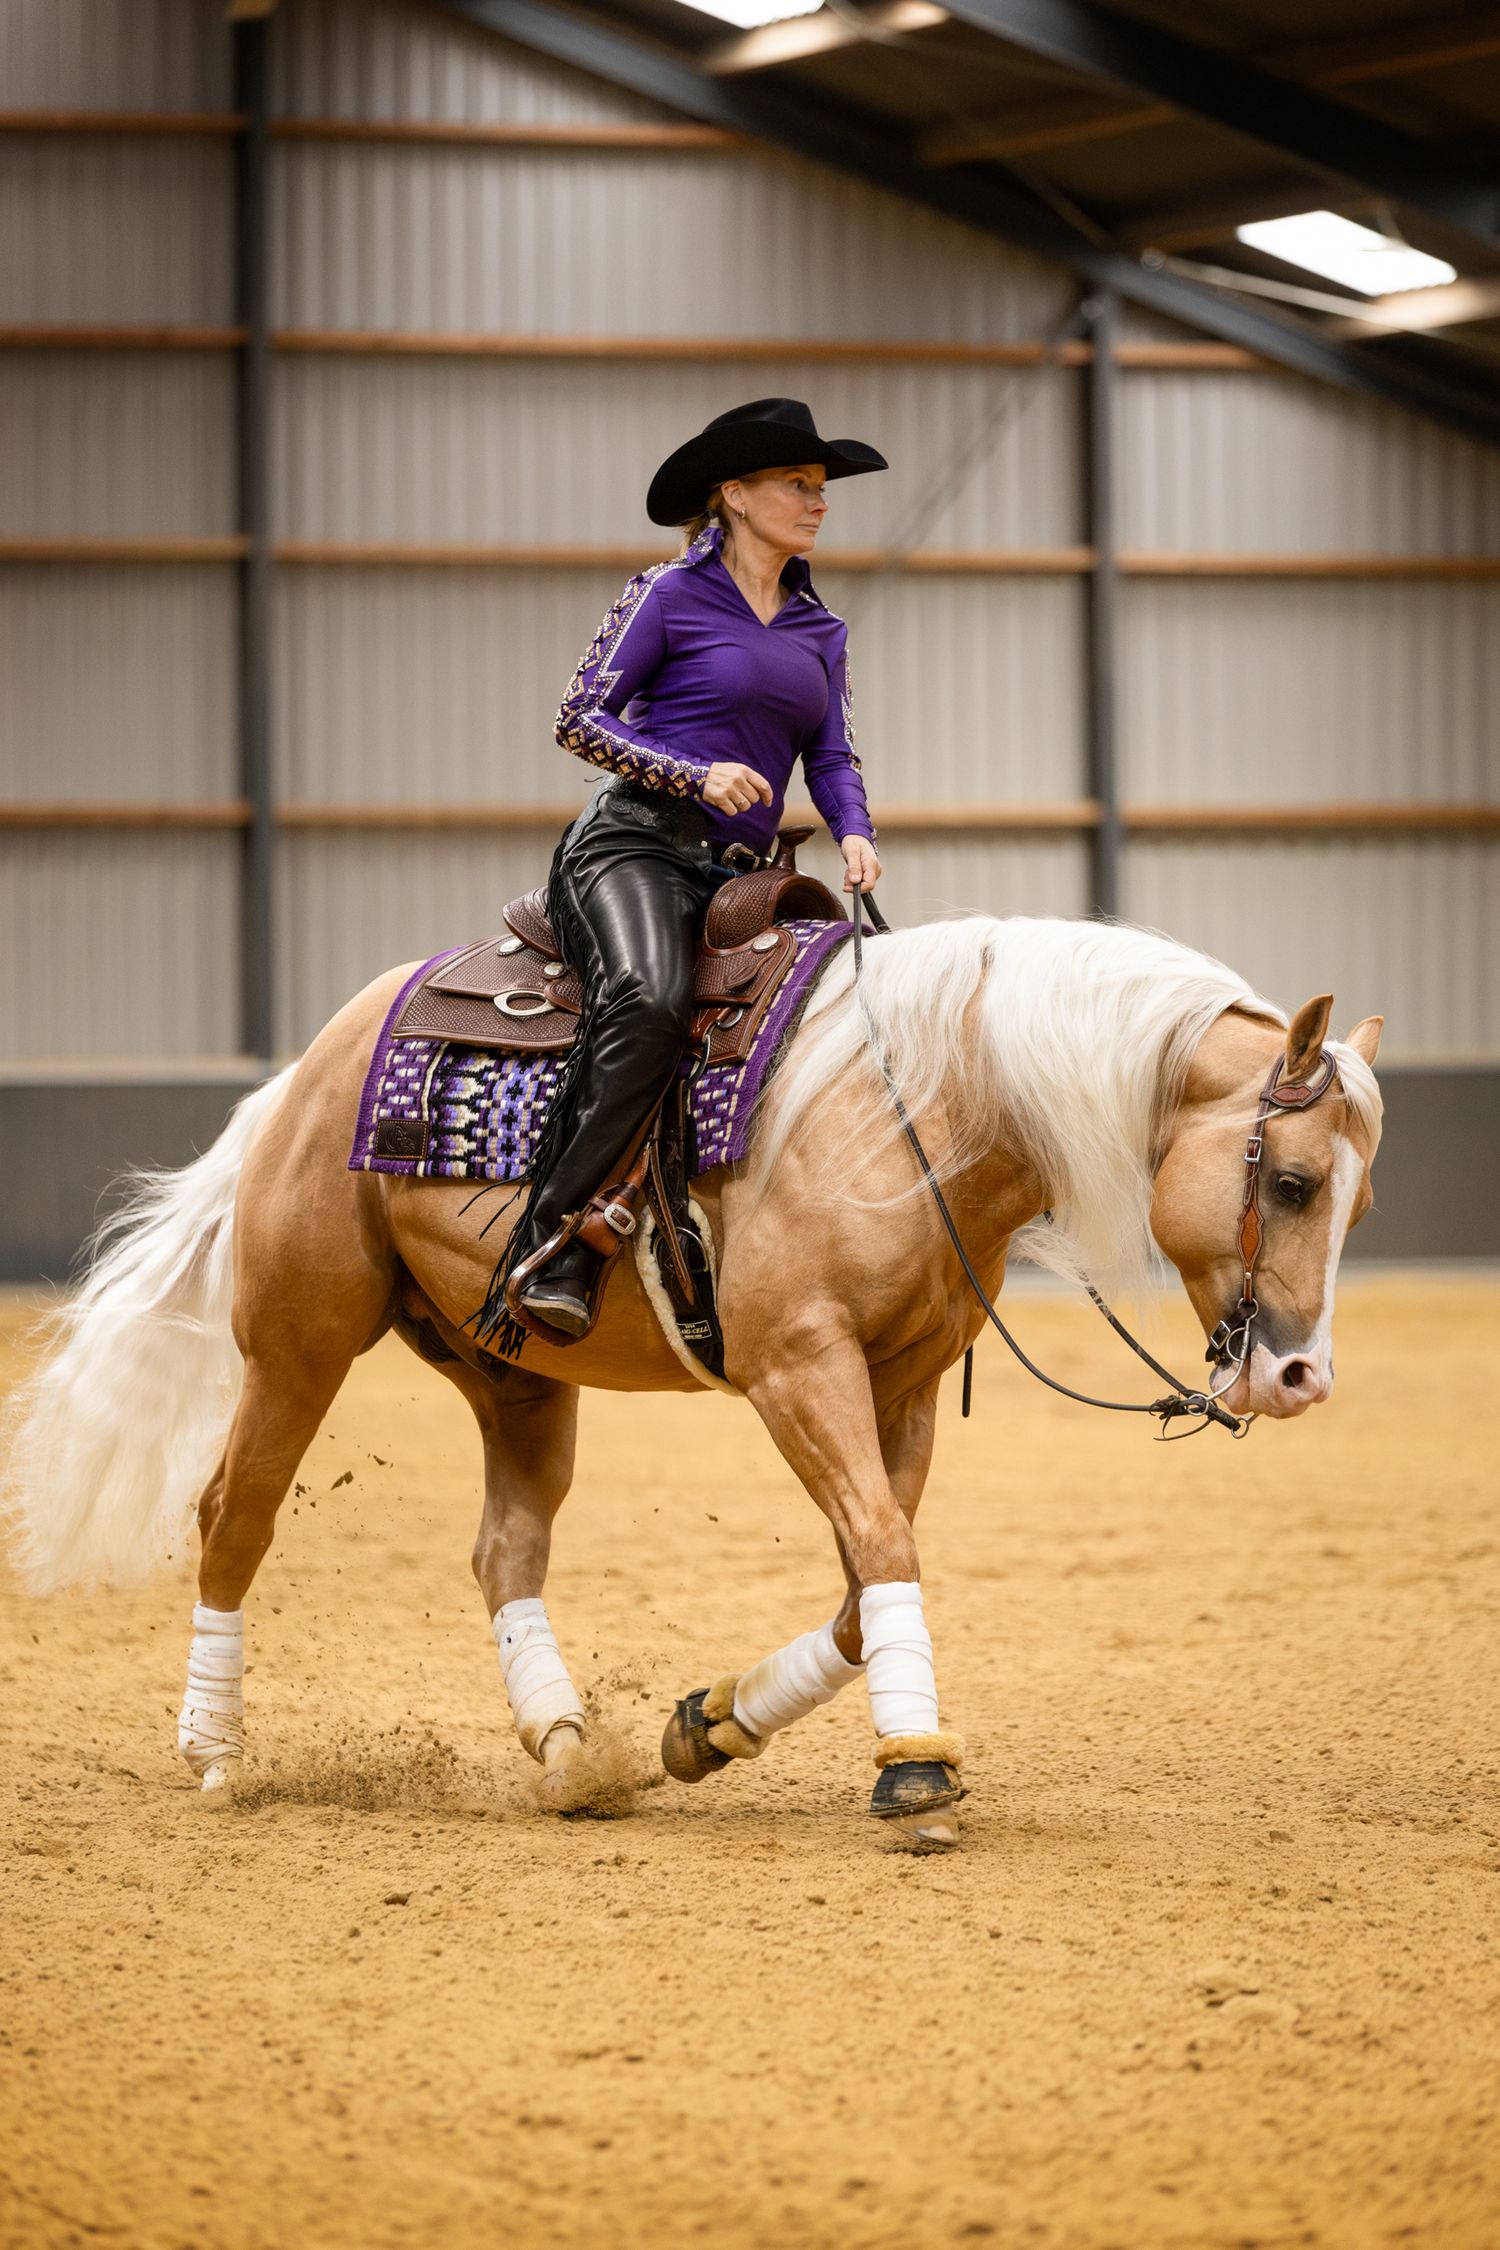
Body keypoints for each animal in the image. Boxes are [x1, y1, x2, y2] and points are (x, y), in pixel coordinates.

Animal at [2, 914, 1383, 1848]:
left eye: (1356, 1200)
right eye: (1293, 1181)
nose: (1300, 1376)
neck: (922, 1104)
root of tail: (306, 1071)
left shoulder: (903, 1385)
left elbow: (865, 1579)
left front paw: (710, 1726)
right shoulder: (798, 1368)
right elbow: (883, 1551)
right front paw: (916, 1765)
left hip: (515, 1380)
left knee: (504, 1551)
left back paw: (568, 1748)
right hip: (301, 1341)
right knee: (233, 1512)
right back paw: (215, 1748)